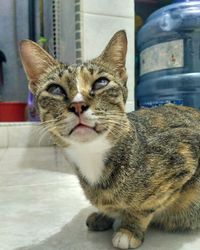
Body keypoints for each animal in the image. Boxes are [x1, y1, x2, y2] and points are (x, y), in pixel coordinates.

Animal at [19, 30, 200, 248]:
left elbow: (145, 206)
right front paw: (104, 215)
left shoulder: (185, 157)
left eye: (101, 83)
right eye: (55, 89)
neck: (92, 157)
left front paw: (129, 229)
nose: (78, 105)